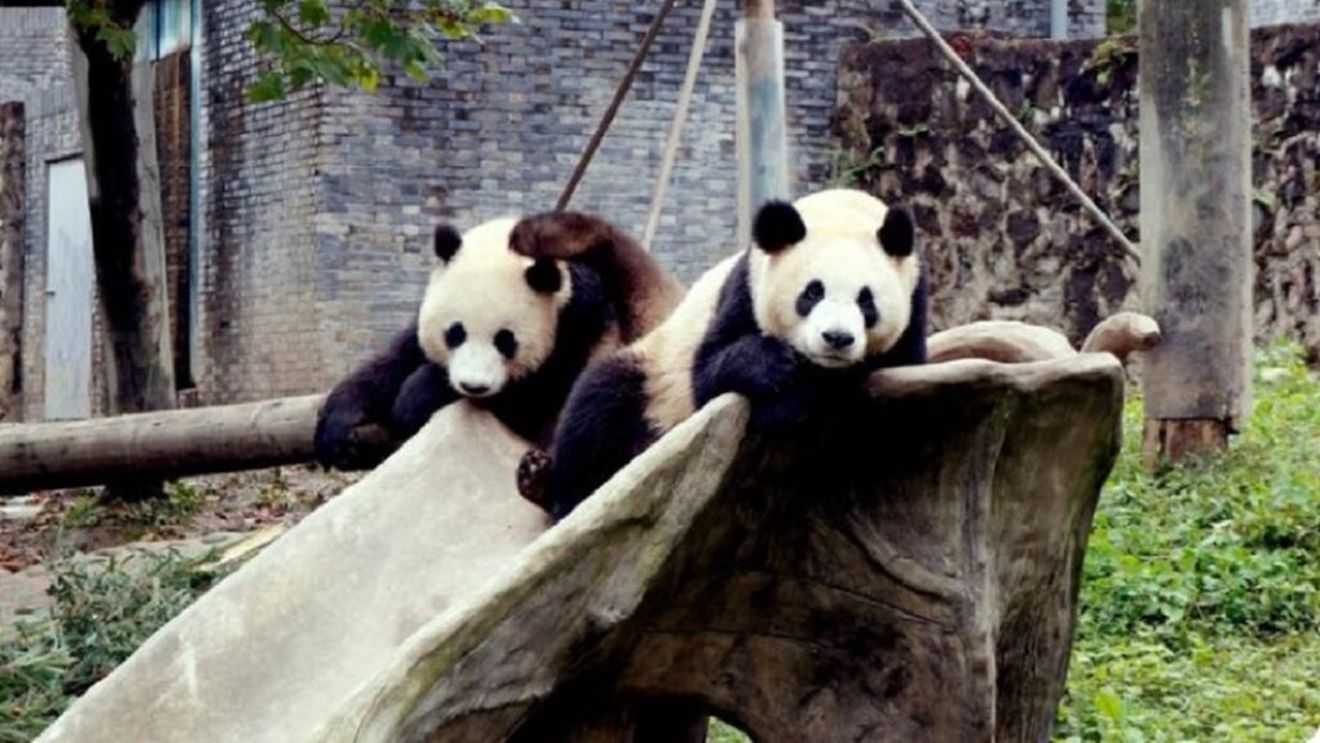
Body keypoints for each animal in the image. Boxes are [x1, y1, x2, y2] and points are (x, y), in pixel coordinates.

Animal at [313, 211, 683, 470]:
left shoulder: (576, 330)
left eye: (505, 341)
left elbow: (531, 400)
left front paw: (414, 397)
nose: (473, 387)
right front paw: (337, 430)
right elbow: (391, 361)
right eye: (455, 332)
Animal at [518, 188, 927, 519]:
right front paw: (774, 370)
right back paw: (554, 490)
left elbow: (889, 369)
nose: (837, 338)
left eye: (866, 300)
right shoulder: (743, 288)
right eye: (812, 293)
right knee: (598, 408)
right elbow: (708, 374)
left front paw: (800, 392)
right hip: (655, 377)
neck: (842, 209)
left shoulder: (914, 304)